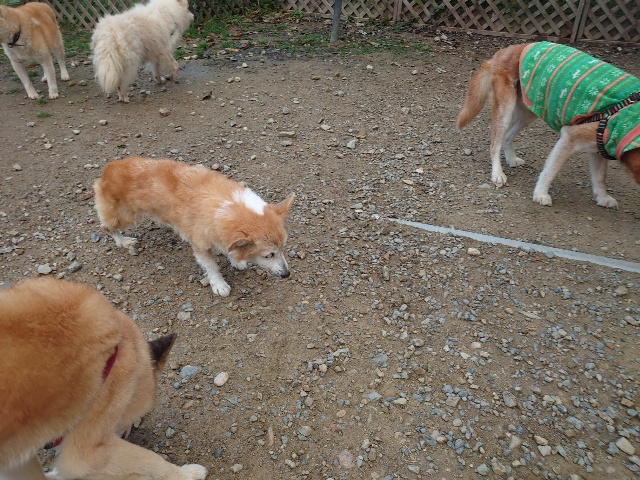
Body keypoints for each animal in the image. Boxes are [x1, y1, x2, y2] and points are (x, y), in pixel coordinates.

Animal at [93, 157, 295, 297]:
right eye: (268, 255)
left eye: (283, 248)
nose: (287, 275)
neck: (228, 205)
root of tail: (108, 168)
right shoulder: (200, 246)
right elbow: (212, 267)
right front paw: (219, 285)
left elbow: (231, 248)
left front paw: (236, 260)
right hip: (125, 216)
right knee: (107, 227)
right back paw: (123, 241)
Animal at [457, 41, 640, 208]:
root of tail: (504, 51)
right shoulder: (569, 138)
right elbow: (550, 171)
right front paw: (540, 194)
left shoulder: (599, 145)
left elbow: (600, 177)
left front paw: (603, 198)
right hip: (506, 108)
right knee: (495, 143)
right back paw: (497, 173)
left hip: (530, 110)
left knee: (507, 137)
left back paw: (511, 159)